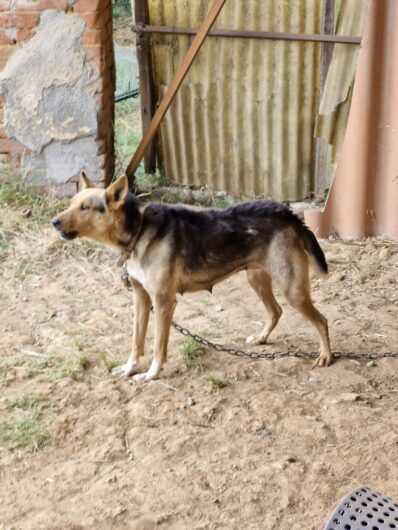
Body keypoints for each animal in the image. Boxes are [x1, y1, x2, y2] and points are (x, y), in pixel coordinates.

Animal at [52, 171, 332, 378]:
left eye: (85, 207)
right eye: (71, 204)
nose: (53, 222)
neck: (139, 231)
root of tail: (289, 214)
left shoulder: (163, 303)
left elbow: (158, 346)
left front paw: (151, 374)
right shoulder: (141, 299)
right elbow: (136, 342)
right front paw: (129, 368)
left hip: (292, 290)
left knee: (321, 321)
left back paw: (326, 356)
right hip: (256, 278)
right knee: (276, 311)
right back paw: (262, 338)